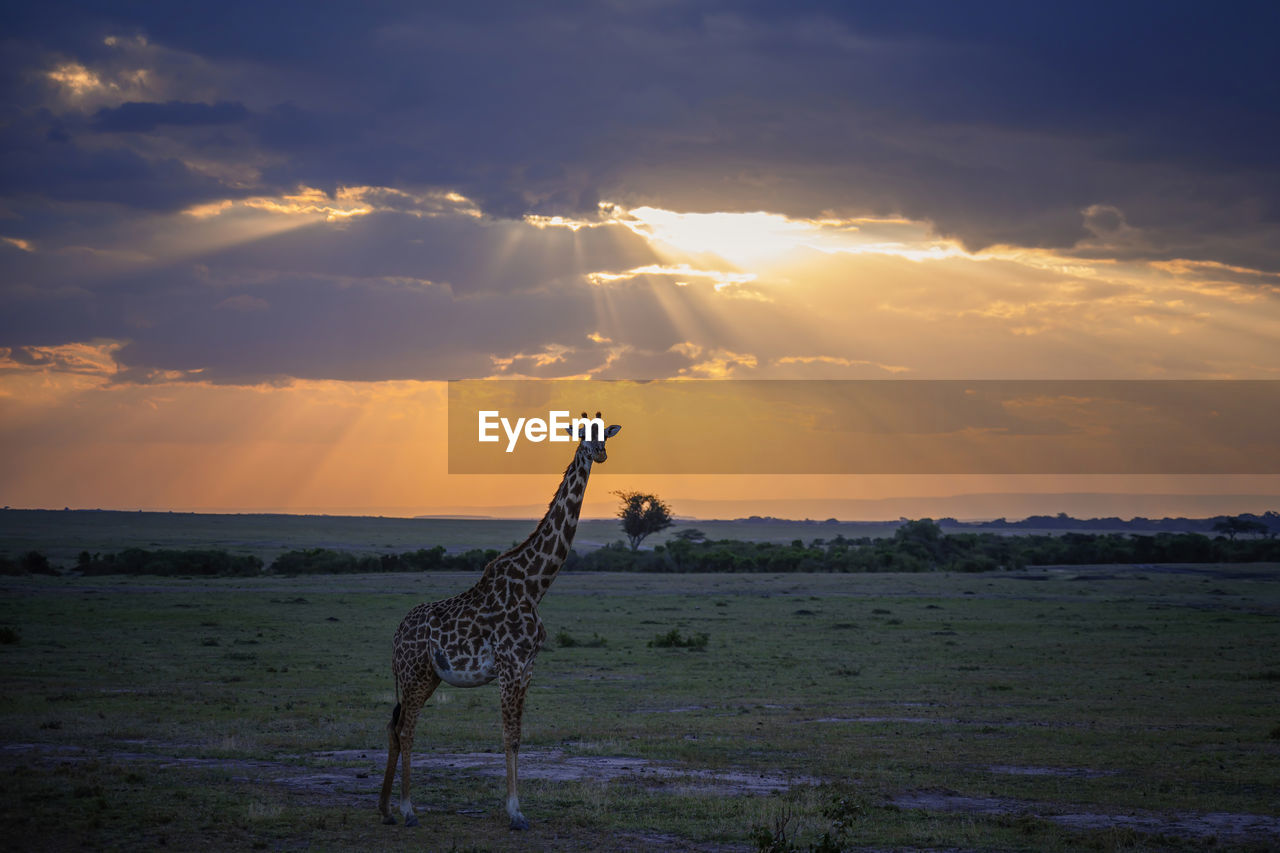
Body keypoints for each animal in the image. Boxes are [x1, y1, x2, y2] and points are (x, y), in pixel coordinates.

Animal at [376, 409, 622, 824]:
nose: (600, 453)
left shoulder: (527, 668)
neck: (535, 585)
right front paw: (515, 813)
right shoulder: (508, 666)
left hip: (427, 676)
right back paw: (407, 809)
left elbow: (519, 737)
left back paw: (387, 809)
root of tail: (395, 635)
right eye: (581, 434)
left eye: (605, 434)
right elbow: (509, 736)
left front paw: (517, 808)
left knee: (397, 726)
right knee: (406, 729)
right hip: (412, 673)